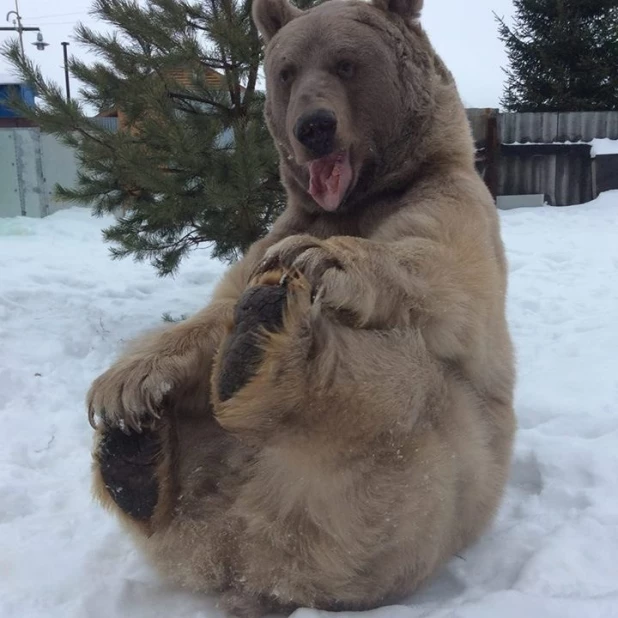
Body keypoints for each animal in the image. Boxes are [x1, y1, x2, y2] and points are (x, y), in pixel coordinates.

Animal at [86, 0, 516, 612]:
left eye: (346, 62)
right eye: (287, 71)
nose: (313, 128)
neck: (355, 199)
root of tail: (246, 551)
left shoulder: (448, 199)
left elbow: (438, 271)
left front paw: (319, 258)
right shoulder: (283, 224)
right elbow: (218, 307)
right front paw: (127, 383)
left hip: (414, 499)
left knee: (397, 387)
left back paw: (269, 348)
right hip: (213, 483)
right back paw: (136, 455)